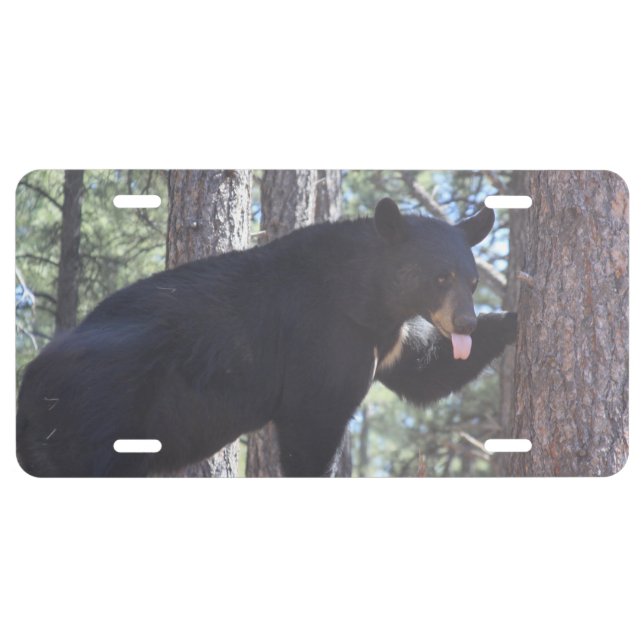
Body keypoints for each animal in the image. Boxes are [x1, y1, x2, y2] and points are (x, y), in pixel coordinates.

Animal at [16, 197, 517, 477]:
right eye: (439, 277)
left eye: (472, 281)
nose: (466, 323)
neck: (367, 296)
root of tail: (30, 375)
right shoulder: (324, 335)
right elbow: (313, 420)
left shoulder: (385, 337)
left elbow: (423, 370)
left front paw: (512, 318)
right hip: (92, 413)